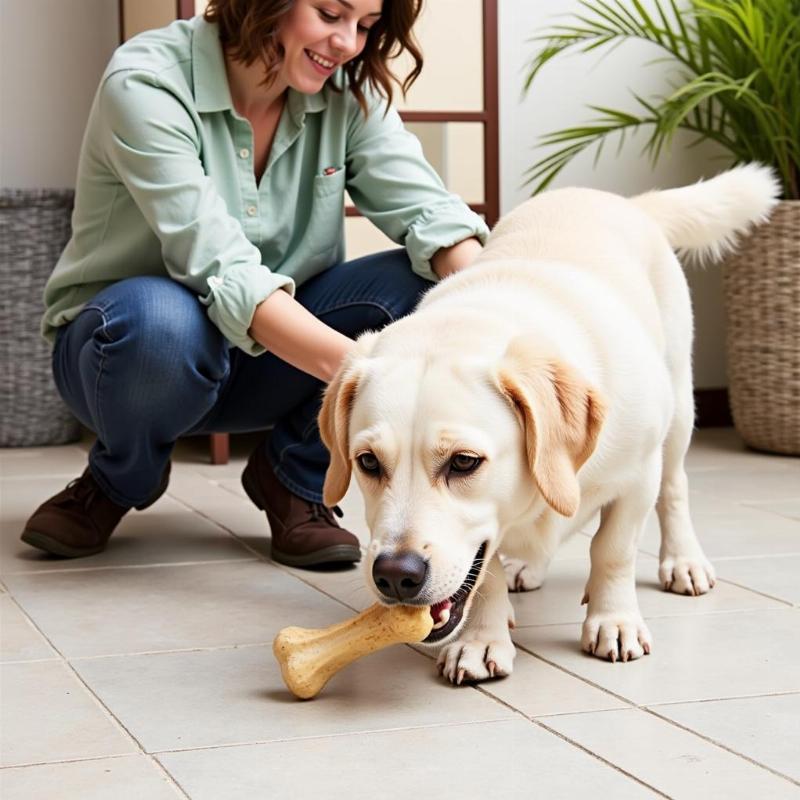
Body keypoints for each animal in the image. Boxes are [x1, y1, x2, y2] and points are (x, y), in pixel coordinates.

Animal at [318, 166, 776, 684]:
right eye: (368, 462)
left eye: (464, 462)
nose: (396, 574)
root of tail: (626, 202)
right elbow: (488, 574)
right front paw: (482, 639)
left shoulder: (638, 475)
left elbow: (613, 549)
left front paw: (614, 620)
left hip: (678, 405)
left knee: (675, 487)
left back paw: (683, 560)